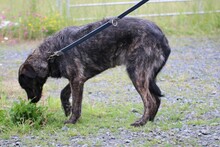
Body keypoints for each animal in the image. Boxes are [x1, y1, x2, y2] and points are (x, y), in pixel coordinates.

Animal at [18, 17, 170, 125]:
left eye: (27, 86)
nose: (31, 102)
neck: (54, 52)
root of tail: (161, 36)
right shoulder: (78, 79)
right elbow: (63, 93)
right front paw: (66, 108)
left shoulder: (76, 80)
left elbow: (76, 104)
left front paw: (72, 120)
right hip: (146, 77)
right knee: (156, 99)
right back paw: (150, 119)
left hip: (137, 74)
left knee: (150, 101)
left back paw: (141, 122)